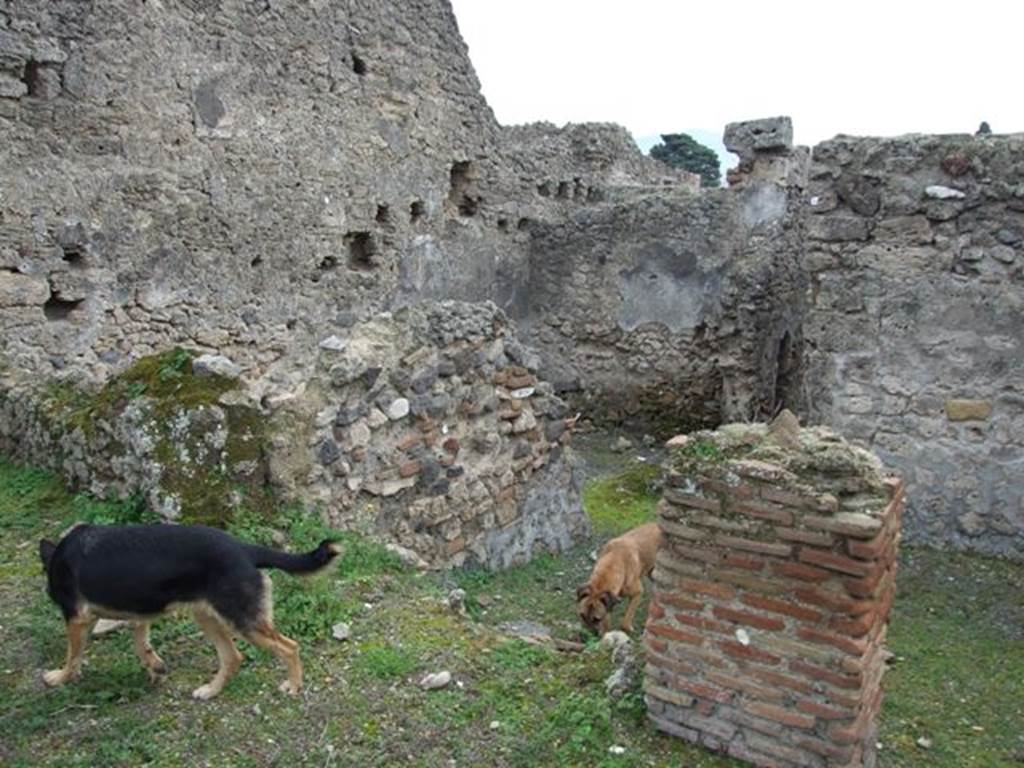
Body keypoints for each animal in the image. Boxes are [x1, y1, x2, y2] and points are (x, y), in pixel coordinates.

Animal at [38, 528, 339, 700]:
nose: (48, 592)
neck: (60, 557)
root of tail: (244, 548)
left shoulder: (77, 618)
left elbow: (73, 656)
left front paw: (60, 677)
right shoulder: (139, 613)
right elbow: (142, 645)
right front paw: (156, 668)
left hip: (243, 622)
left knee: (289, 647)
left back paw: (294, 685)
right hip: (208, 617)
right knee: (233, 657)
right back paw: (210, 691)